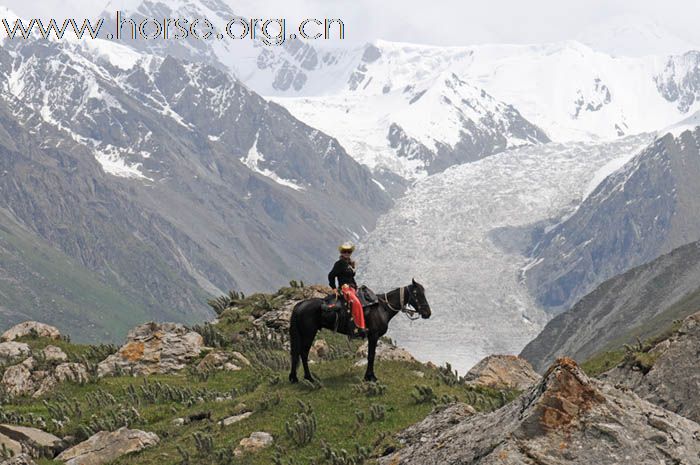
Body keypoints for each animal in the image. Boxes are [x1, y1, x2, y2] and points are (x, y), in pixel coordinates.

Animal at [288, 280, 430, 380]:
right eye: (417, 294)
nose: (427, 313)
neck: (382, 308)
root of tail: (299, 305)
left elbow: (371, 355)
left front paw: (369, 376)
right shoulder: (373, 336)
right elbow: (371, 356)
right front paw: (370, 377)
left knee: (296, 354)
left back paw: (295, 378)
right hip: (309, 334)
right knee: (303, 353)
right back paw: (309, 378)